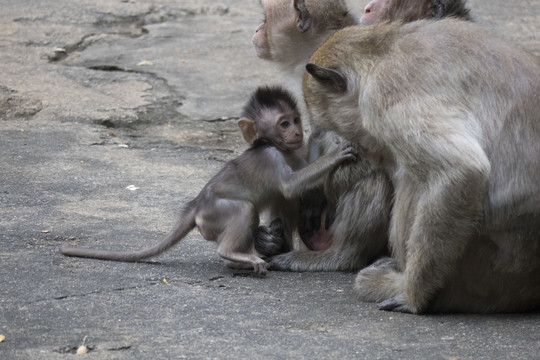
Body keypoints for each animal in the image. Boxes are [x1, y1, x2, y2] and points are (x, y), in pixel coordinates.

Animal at [61, 85, 356, 276]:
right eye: (284, 124)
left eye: (295, 120)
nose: (297, 131)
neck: (275, 146)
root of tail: (195, 206)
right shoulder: (271, 157)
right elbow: (289, 186)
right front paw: (335, 155)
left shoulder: (296, 150)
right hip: (214, 213)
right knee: (245, 209)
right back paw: (231, 254)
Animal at [304, 19, 540, 312]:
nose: (368, 153)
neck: (380, 52)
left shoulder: (384, 94)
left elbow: (462, 170)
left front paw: (411, 295)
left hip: (480, 274)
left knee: (415, 178)